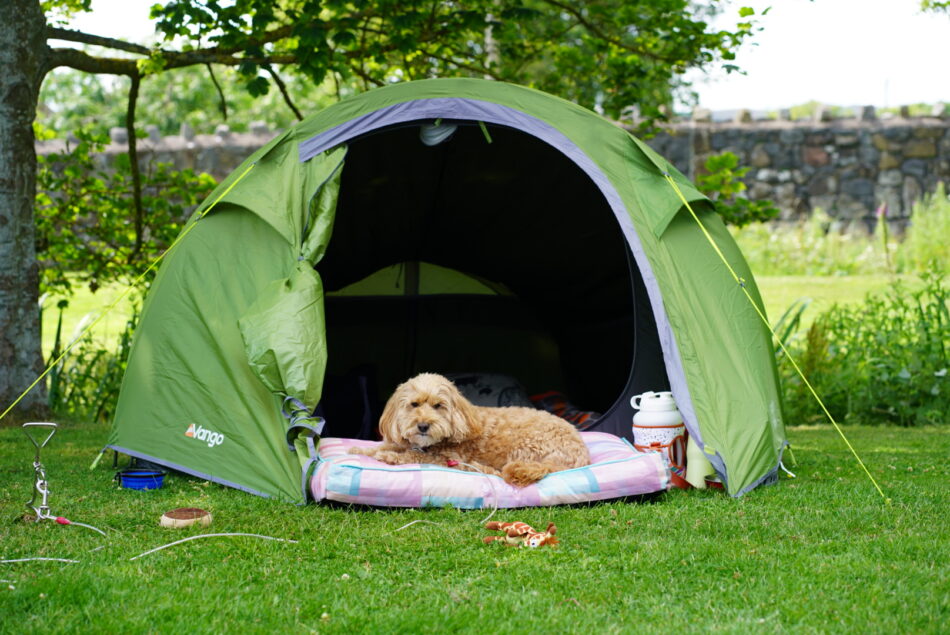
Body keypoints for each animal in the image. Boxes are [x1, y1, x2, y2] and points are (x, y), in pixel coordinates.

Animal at [348, 372, 588, 486]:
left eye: (438, 406)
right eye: (414, 404)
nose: (423, 425)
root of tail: (582, 455)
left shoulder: (448, 458)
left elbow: (414, 456)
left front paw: (389, 456)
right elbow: (387, 446)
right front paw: (359, 450)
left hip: (524, 445)